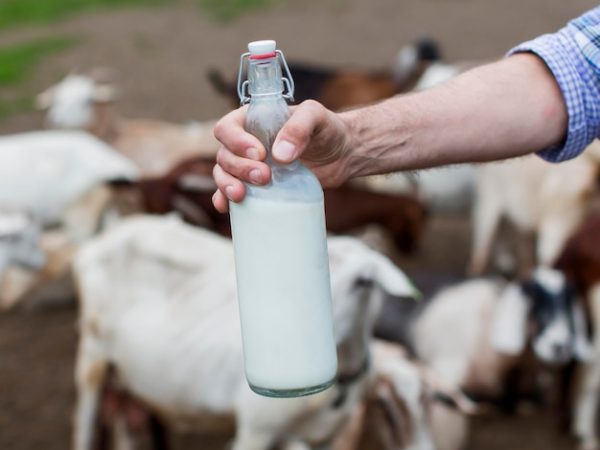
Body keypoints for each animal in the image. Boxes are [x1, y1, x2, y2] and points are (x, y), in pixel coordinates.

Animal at [71, 214, 418, 450]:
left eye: (363, 281)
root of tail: (103, 238)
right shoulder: (256, 428)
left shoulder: (324, 434)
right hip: (92, 355)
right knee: (84, 427)